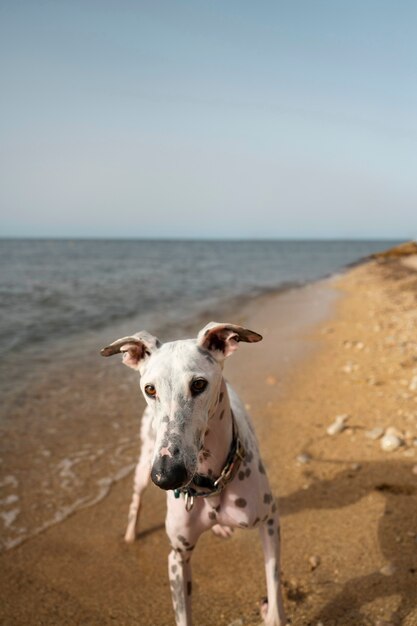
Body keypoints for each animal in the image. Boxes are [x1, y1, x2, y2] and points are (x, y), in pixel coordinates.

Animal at [101, 322, 286, 624]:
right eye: (150, 389)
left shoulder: (269, 522)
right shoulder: (178, 556)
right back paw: (130, 535)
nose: (166, 476)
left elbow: (274, 587)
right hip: (143, 464)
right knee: (136, 499)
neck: (209, 484)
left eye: (199, 384)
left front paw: (271, 611)